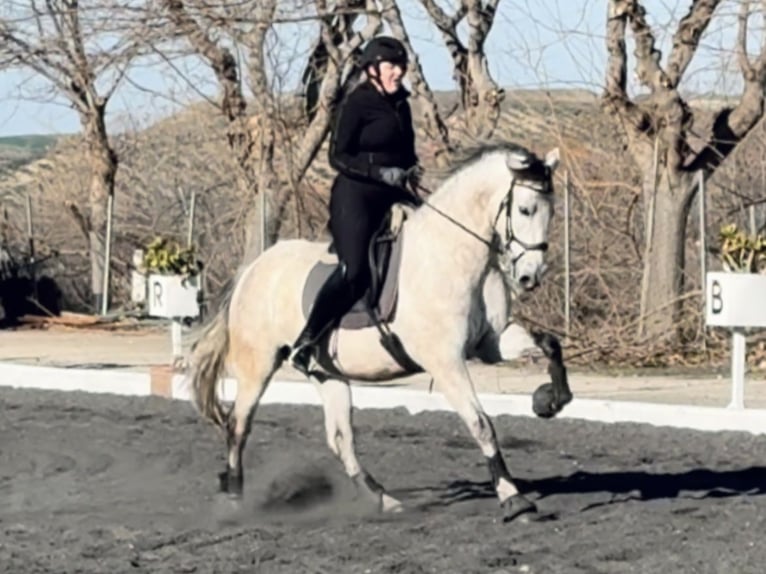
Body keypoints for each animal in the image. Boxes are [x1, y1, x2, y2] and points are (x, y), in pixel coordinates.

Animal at [187, 142, 573, 524]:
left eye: (552, 212)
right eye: (525, 209)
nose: (530, 277)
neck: (452, 254)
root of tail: (253, 269)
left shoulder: (491, 343)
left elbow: (550, 344)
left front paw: (550, 400)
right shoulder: (445, 362)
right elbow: (480, 423)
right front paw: (513, 499)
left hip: (327, 373)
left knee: (340, 438)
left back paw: (383, 500)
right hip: (258, 364)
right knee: (238, 424)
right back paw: (234, 501)